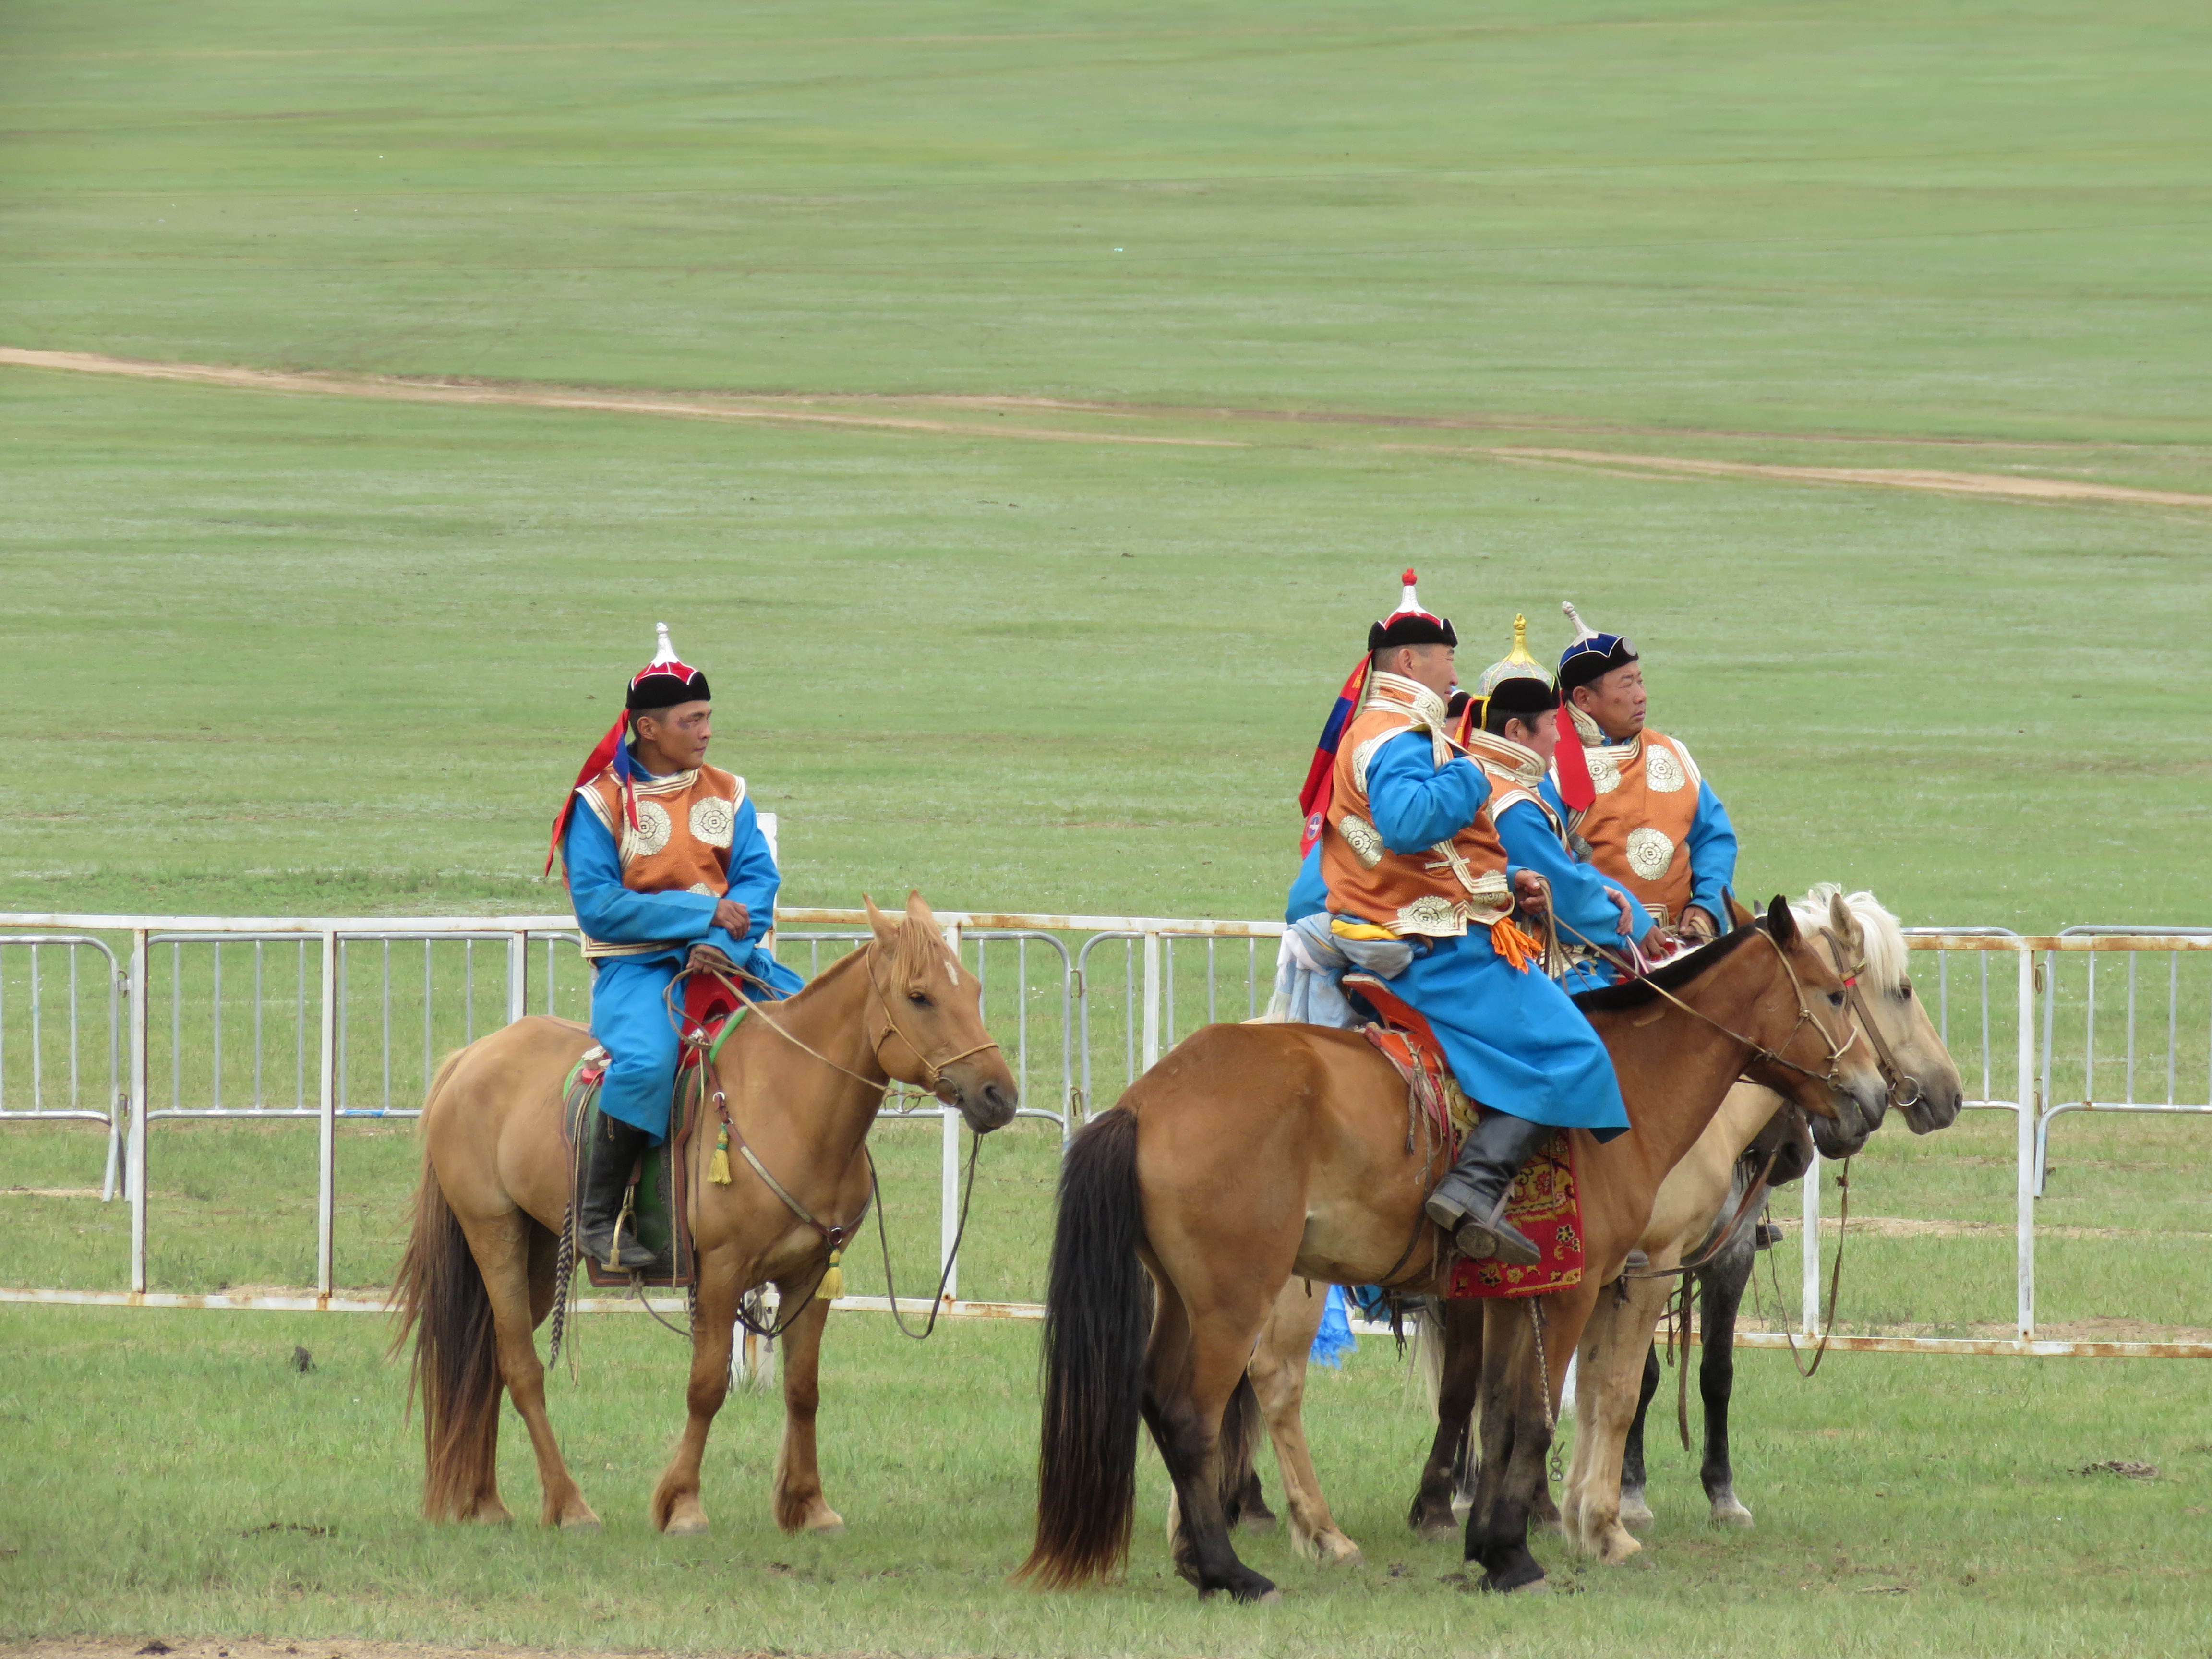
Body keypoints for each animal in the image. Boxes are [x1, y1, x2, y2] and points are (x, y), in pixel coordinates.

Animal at [389, 891, 1018, 1536]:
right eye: (920, 996)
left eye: (971, 989)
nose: (999, 1095)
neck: (791, 1105)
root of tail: (470, 1058)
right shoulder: (720, 1274)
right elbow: (707, 1386)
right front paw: (684, 1504)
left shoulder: (812, 1277)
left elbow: (803, 1389)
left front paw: (809, 1504)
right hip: (495, 1234)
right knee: (521, 1368)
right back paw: (568, 1504)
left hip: (539, 1252)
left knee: (488, 1361)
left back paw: (484, 1501)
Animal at [1019, 893, 1886, 1601]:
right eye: (1835, 993)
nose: (1875, 1098)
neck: (1627, 1084)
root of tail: (1146, 1099)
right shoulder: (1577, 1289)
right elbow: (1546, 1414)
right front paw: (1526, 1549)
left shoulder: (1512, 1296)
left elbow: (1499, 1415)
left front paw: (1494, 1542)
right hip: (1239, 1296)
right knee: (1197, 1410)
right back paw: (1233, 1571)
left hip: (1184, 1294)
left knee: (1165, 1401)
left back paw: (1216, 1555)